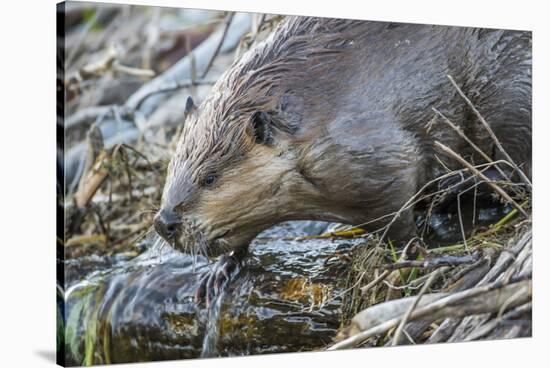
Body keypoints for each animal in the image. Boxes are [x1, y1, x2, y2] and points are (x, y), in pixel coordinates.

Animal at [153, 15, 532, 302]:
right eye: (172, 169)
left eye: (209, 177)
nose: (164, 223)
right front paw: (217, 275)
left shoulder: (369, 150)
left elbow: (399, 205)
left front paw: (407, 255)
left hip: (508, 91)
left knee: (514, 169)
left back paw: (451, 187)